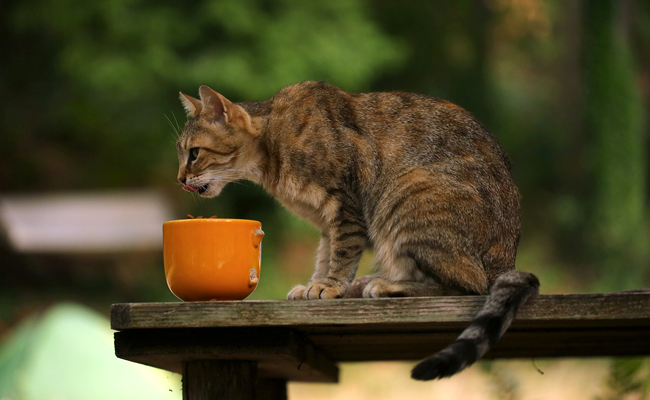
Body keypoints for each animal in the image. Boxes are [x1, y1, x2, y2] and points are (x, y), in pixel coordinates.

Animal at [175, 80, 540, 378]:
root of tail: (505, 262)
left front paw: (330, 286)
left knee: (469, 286)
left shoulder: (345, 205)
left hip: (406, 193)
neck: (271, 148)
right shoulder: (327, 221)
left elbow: (342, 253)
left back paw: (387, 286)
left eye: (194, 153)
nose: (179, 179)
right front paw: (316, 284)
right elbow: (325, 255)